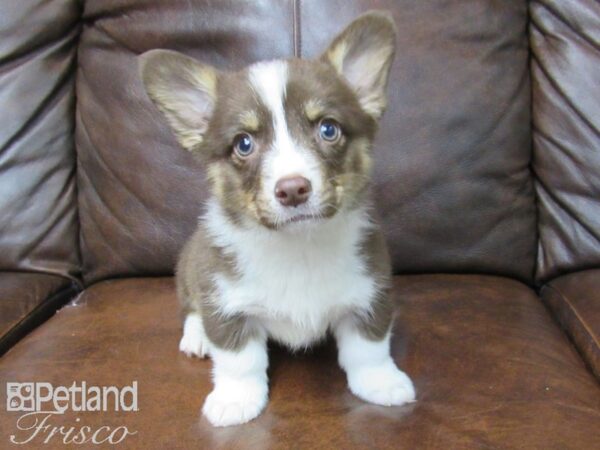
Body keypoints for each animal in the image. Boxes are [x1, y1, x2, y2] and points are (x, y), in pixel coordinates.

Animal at [139, 10, 414, 426]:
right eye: (243, 144)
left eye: (328, 129)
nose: (293, 189)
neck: (298, 248)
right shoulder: (225, 300)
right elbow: (238, 359)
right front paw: (236, 401)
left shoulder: (371, 292)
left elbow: (369, 347)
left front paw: (382, 383)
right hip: (189, 270)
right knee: (191, 311)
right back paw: (197, 337)